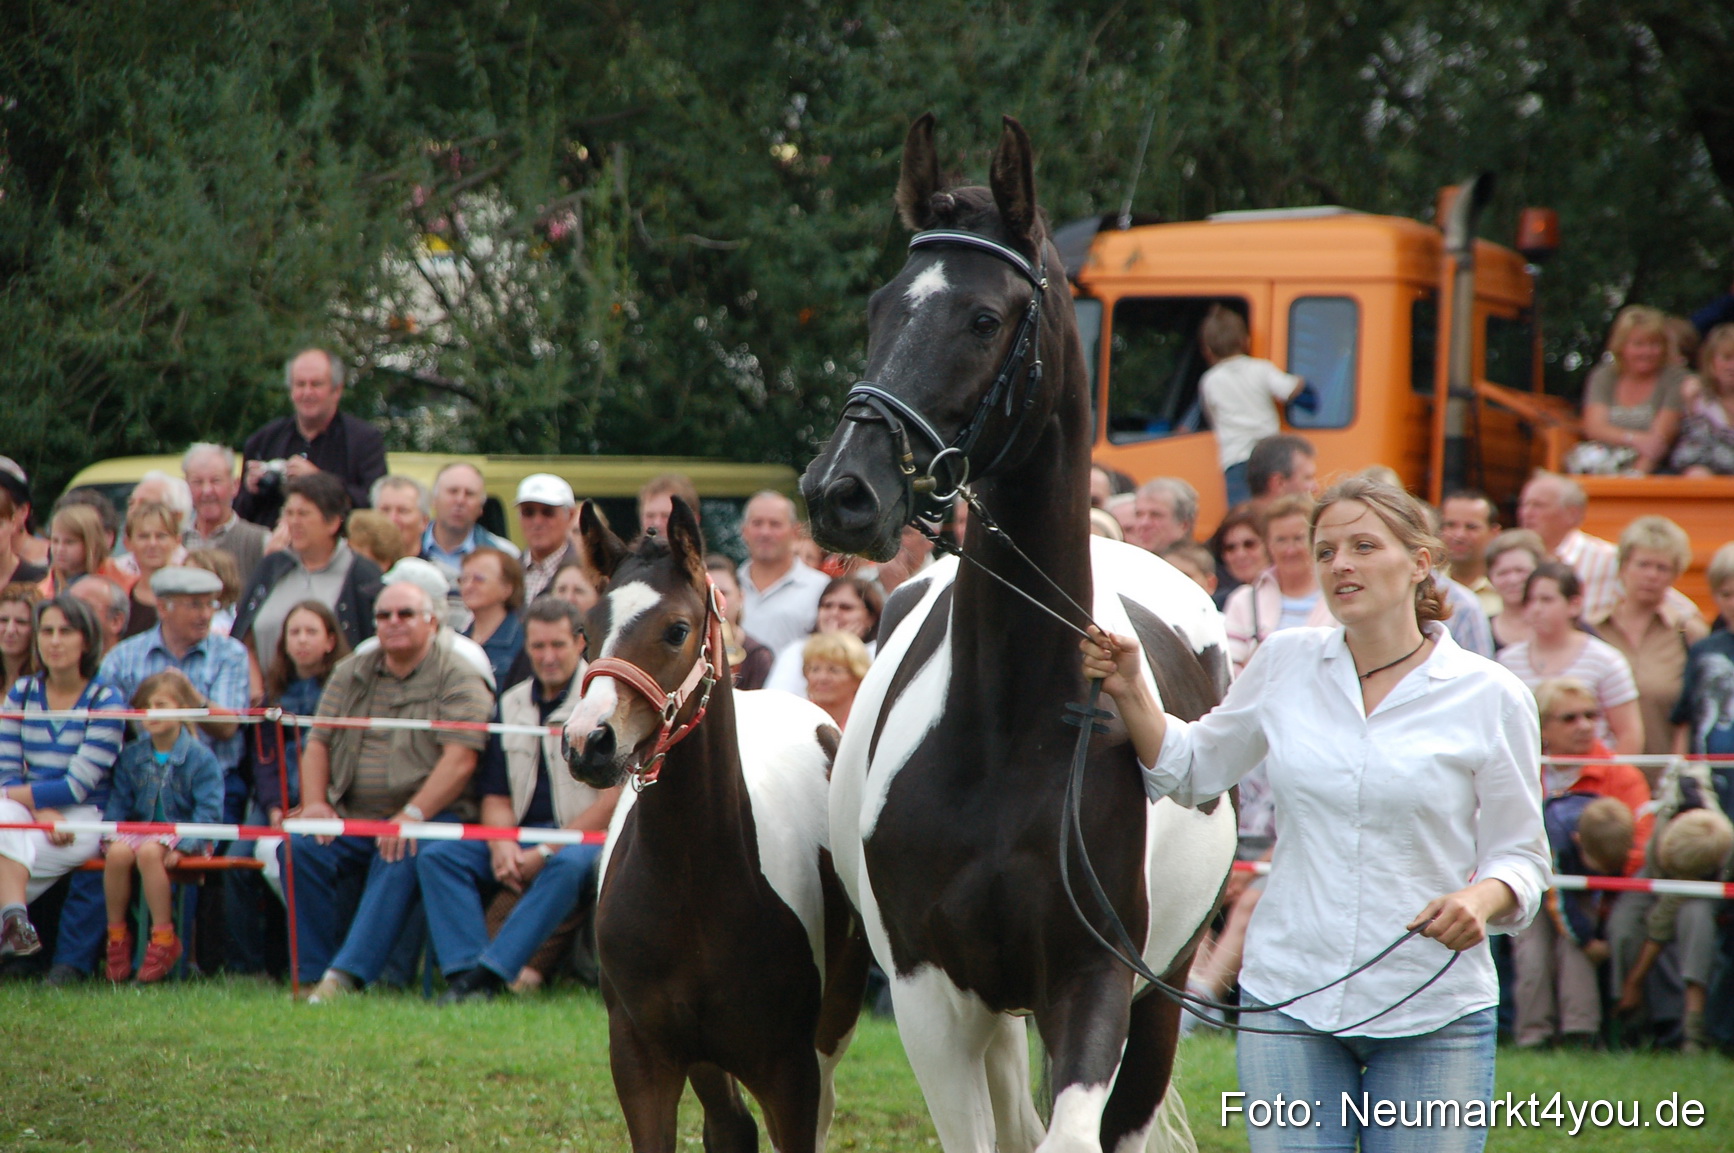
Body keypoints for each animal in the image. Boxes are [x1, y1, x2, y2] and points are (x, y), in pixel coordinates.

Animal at [562, 497, 870, 1153]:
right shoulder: (641, 1059)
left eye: (676, 630)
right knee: (729, 1127)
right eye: (586, 631)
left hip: (831, 1031)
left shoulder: (791, 1072)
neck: (694, 883)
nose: (587, 742)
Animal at [799, 114, 1238, 1153]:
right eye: (879, 309)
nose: (842, 491)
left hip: (1160, 992)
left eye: (983, 319)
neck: (1009, 731)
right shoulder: (932, 995)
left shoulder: (1099, 979)